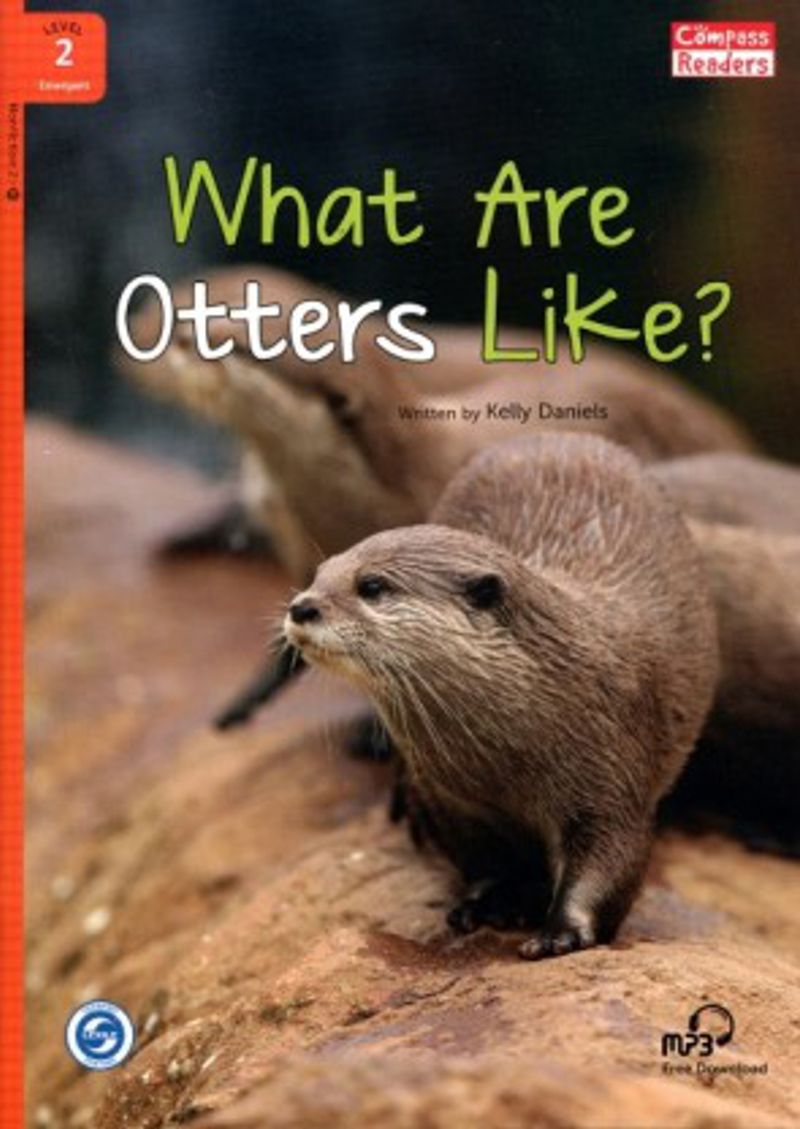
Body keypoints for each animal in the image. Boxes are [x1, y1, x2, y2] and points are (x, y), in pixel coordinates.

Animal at [283, 434, 719, 958]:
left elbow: (611, 859)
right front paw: (494, 901)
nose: (301, 607)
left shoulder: (613, 774)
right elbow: (483, 859)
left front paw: (560, 931)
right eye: (319, 571)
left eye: (371, 585)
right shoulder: (457, 800)